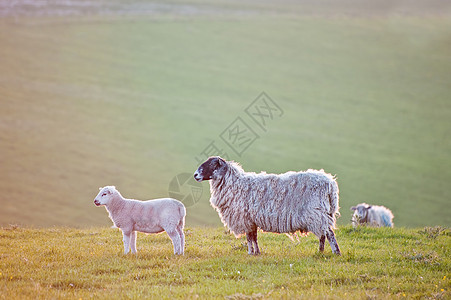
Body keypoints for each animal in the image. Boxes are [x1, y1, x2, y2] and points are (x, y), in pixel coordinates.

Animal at [194, 157, 342, 255]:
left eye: (211, 164)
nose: (195, 175)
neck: (234, 183)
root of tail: (330, 184)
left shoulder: (245, 218)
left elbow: (249, 238)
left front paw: (250, 253)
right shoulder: (251, 219)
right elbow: (254, 237)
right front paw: (257, 252)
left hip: (316, 213)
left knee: (329, 233)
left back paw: (335, 252)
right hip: (322, 213)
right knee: (323, 234)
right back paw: (320, 252)